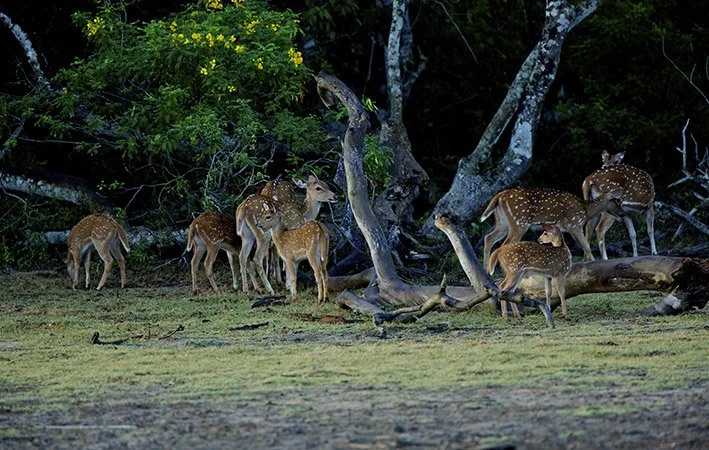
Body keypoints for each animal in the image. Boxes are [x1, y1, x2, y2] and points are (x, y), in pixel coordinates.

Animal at [480, 186, 626, 270]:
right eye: (616, 200)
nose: (622, 214)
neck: (586, 211)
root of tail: (500, 196)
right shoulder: (574, 224)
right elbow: (586, 245)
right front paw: (594, 265)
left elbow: (583, 245)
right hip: (519, 222)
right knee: (504, 243)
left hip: (503, 222)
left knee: (488, 237)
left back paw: (486, 270)